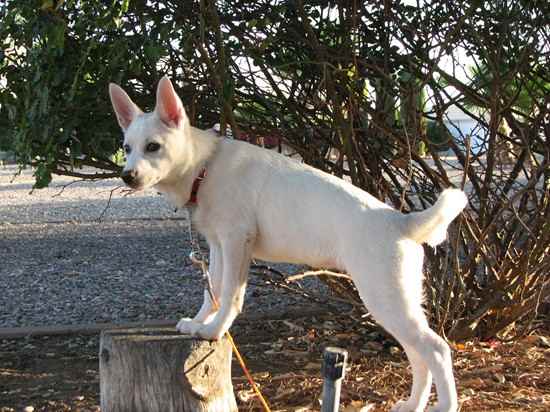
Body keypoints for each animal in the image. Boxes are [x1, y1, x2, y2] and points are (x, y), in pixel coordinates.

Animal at [110, 77, 468, 412]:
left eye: (153, 147)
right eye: (127, 148)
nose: (127, 175)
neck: (205, 166)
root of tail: (402, 222)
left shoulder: (236, 240)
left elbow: (230, 296)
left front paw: (214, 329)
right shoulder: (218, 246)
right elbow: (212, 289)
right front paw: (200, 322)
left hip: (386, 299)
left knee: (437, 349)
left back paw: (446, 405)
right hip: (397, 304)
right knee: (419, 355)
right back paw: (413, 404)